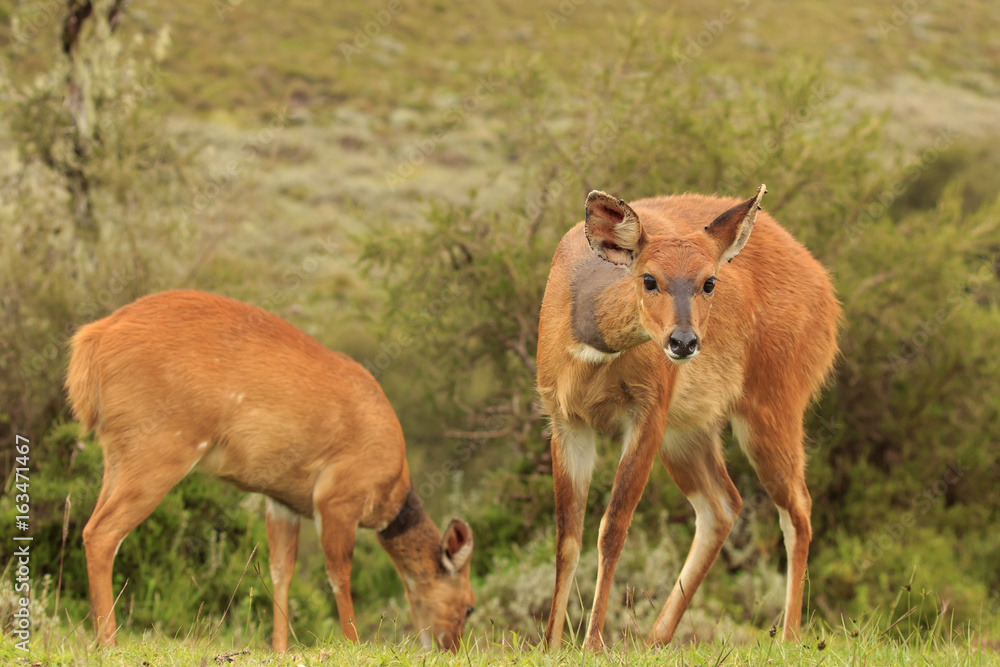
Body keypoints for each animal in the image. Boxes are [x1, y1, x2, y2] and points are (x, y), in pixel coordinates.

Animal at [65, 290, 475, 653]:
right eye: (469, 605)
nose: (450, 649)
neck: (391, 487)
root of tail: (94, 338)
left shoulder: (283, 503)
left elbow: (281, 571)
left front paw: (279, 648)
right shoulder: (336, 499)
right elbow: (338, 574)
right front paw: (353, 644)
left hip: (116, 456)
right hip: (158, 454)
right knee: (101, 533)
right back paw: (109, 643)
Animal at [536, 185, 840, 650]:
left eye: (709, 282)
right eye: (649, 279)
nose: (683, 342)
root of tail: (829, 297)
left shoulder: (649, 409)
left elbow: (613, 526)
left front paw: (591, 644)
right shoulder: (565, 420)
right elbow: (566, 535)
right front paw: (550, 644)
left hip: (774, 402)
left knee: (798, 508)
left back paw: (787, 638)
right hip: (688, 430)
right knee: (724, 504)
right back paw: (653, 639)